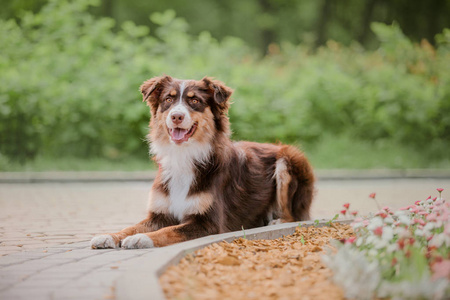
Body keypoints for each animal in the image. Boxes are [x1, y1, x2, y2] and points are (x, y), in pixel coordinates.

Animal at [89, 76, 314, 250]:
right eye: (168, 99)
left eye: (195, 101)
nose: (176, 116)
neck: (183, 156)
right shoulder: (159, 214)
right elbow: (131, 226)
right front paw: (109, 235)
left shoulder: (208, 223)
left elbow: (170, 230)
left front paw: (142, 238)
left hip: (288, 159)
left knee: (295, 215)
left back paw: (275, 221)